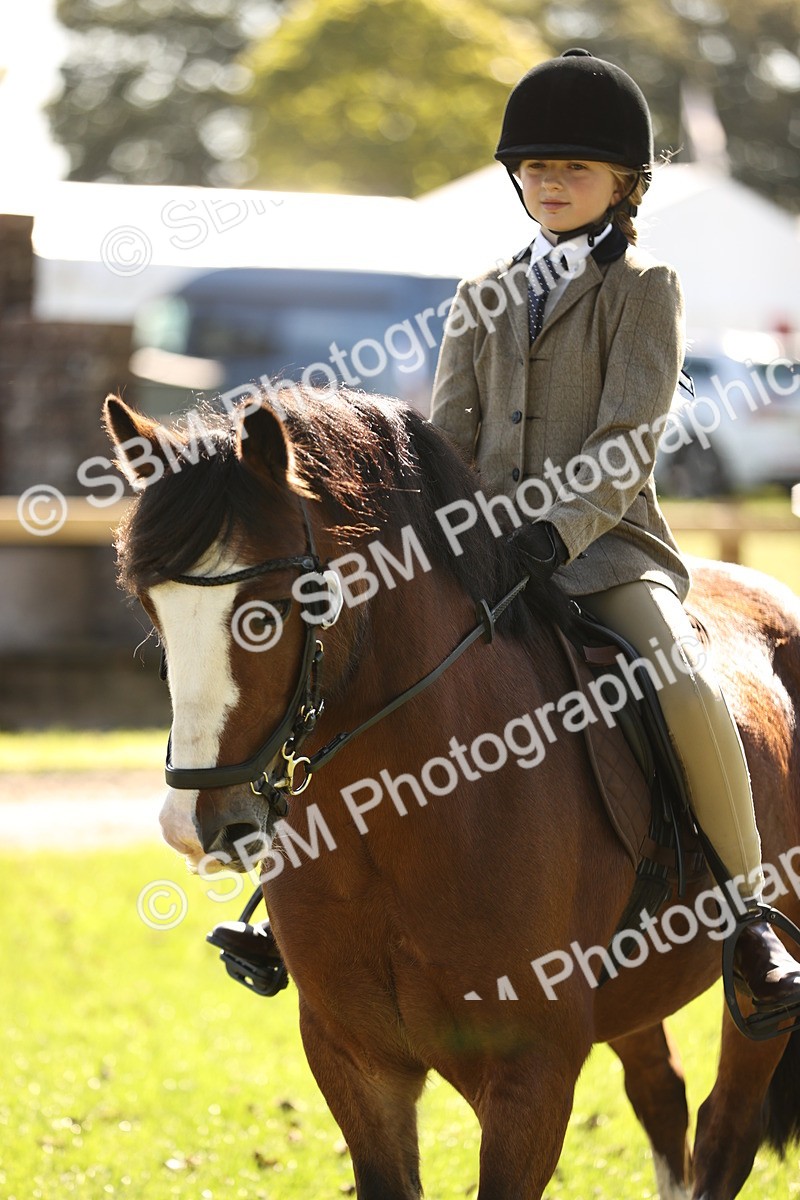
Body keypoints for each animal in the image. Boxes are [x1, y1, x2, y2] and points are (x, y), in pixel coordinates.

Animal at [104, 387, 800, 1200]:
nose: (195, 826)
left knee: (727, 1126)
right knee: (663, 1097)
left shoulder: (529, 1078)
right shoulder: (356, 1065)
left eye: (270, 607)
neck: (396, 819)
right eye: (149, 606)